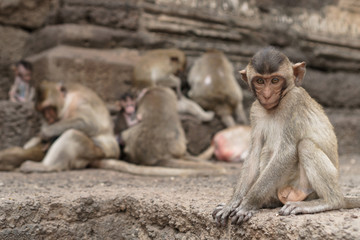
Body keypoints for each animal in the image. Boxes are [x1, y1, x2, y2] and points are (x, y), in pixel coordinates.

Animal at [211, 47, 360, 227]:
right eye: (260, 81)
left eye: (275, 80)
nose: (267, 95)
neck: (278, 104)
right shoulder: (255, 110)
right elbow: (254, 153)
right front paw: (232, 203)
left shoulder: (294, 101)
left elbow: (287, 151)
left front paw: (247, 204)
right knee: (266, 151)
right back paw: (269, 201)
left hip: (304, 188)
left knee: (305, 146)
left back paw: (329, 201)